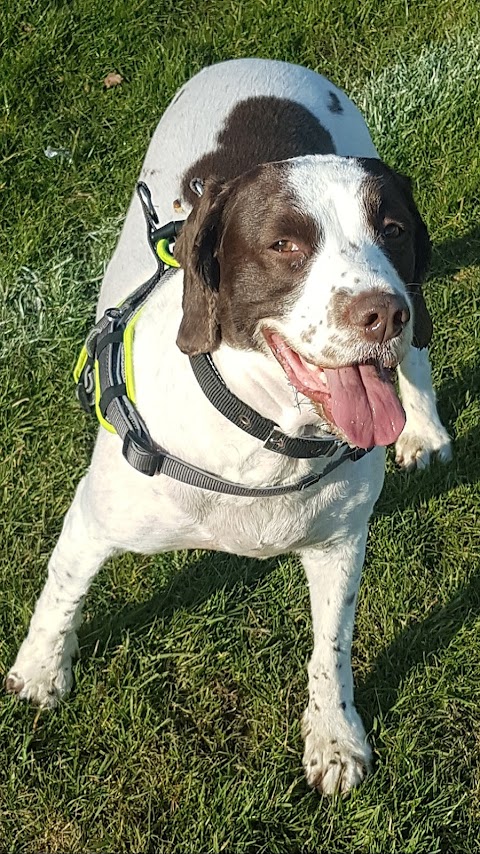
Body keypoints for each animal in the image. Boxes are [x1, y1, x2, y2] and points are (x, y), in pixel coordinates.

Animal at [5, 58, 452, 796]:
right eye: (285, 245)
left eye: (390, 228)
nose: (383, 313)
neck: (268, 437)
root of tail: (263, 61)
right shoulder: (94, 519)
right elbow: (62, 591)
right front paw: (41, 671)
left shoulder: (340, 544)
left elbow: (331, 650)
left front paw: (334, 738)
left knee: (416, 356)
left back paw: (426, 428)